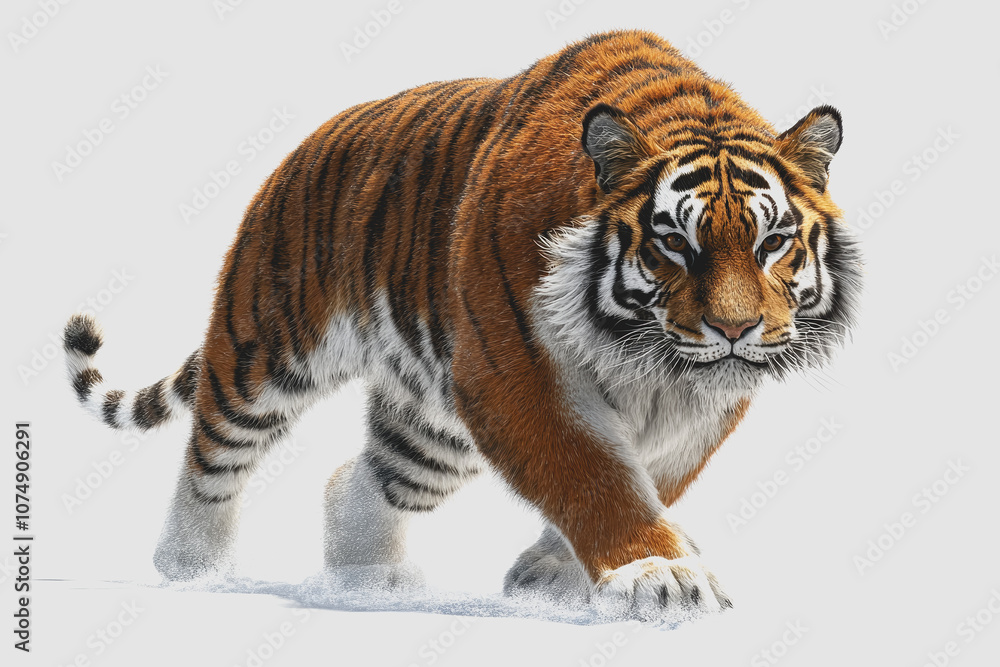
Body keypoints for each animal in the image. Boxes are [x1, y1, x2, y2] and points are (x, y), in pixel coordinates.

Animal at [63, 29, 861, 620]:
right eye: (674, 242)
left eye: (772, 241)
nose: (735, 330)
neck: (648, 356)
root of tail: (304, 148)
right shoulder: (512, 374)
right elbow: (592, 473)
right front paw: (658, 575)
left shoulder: (701, 406)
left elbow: (652, 475)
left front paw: (551, 574)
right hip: (270, 344)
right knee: (214, 449)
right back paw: (192, 567)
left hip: (432, 426)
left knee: (360, 479)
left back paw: (363, 579)